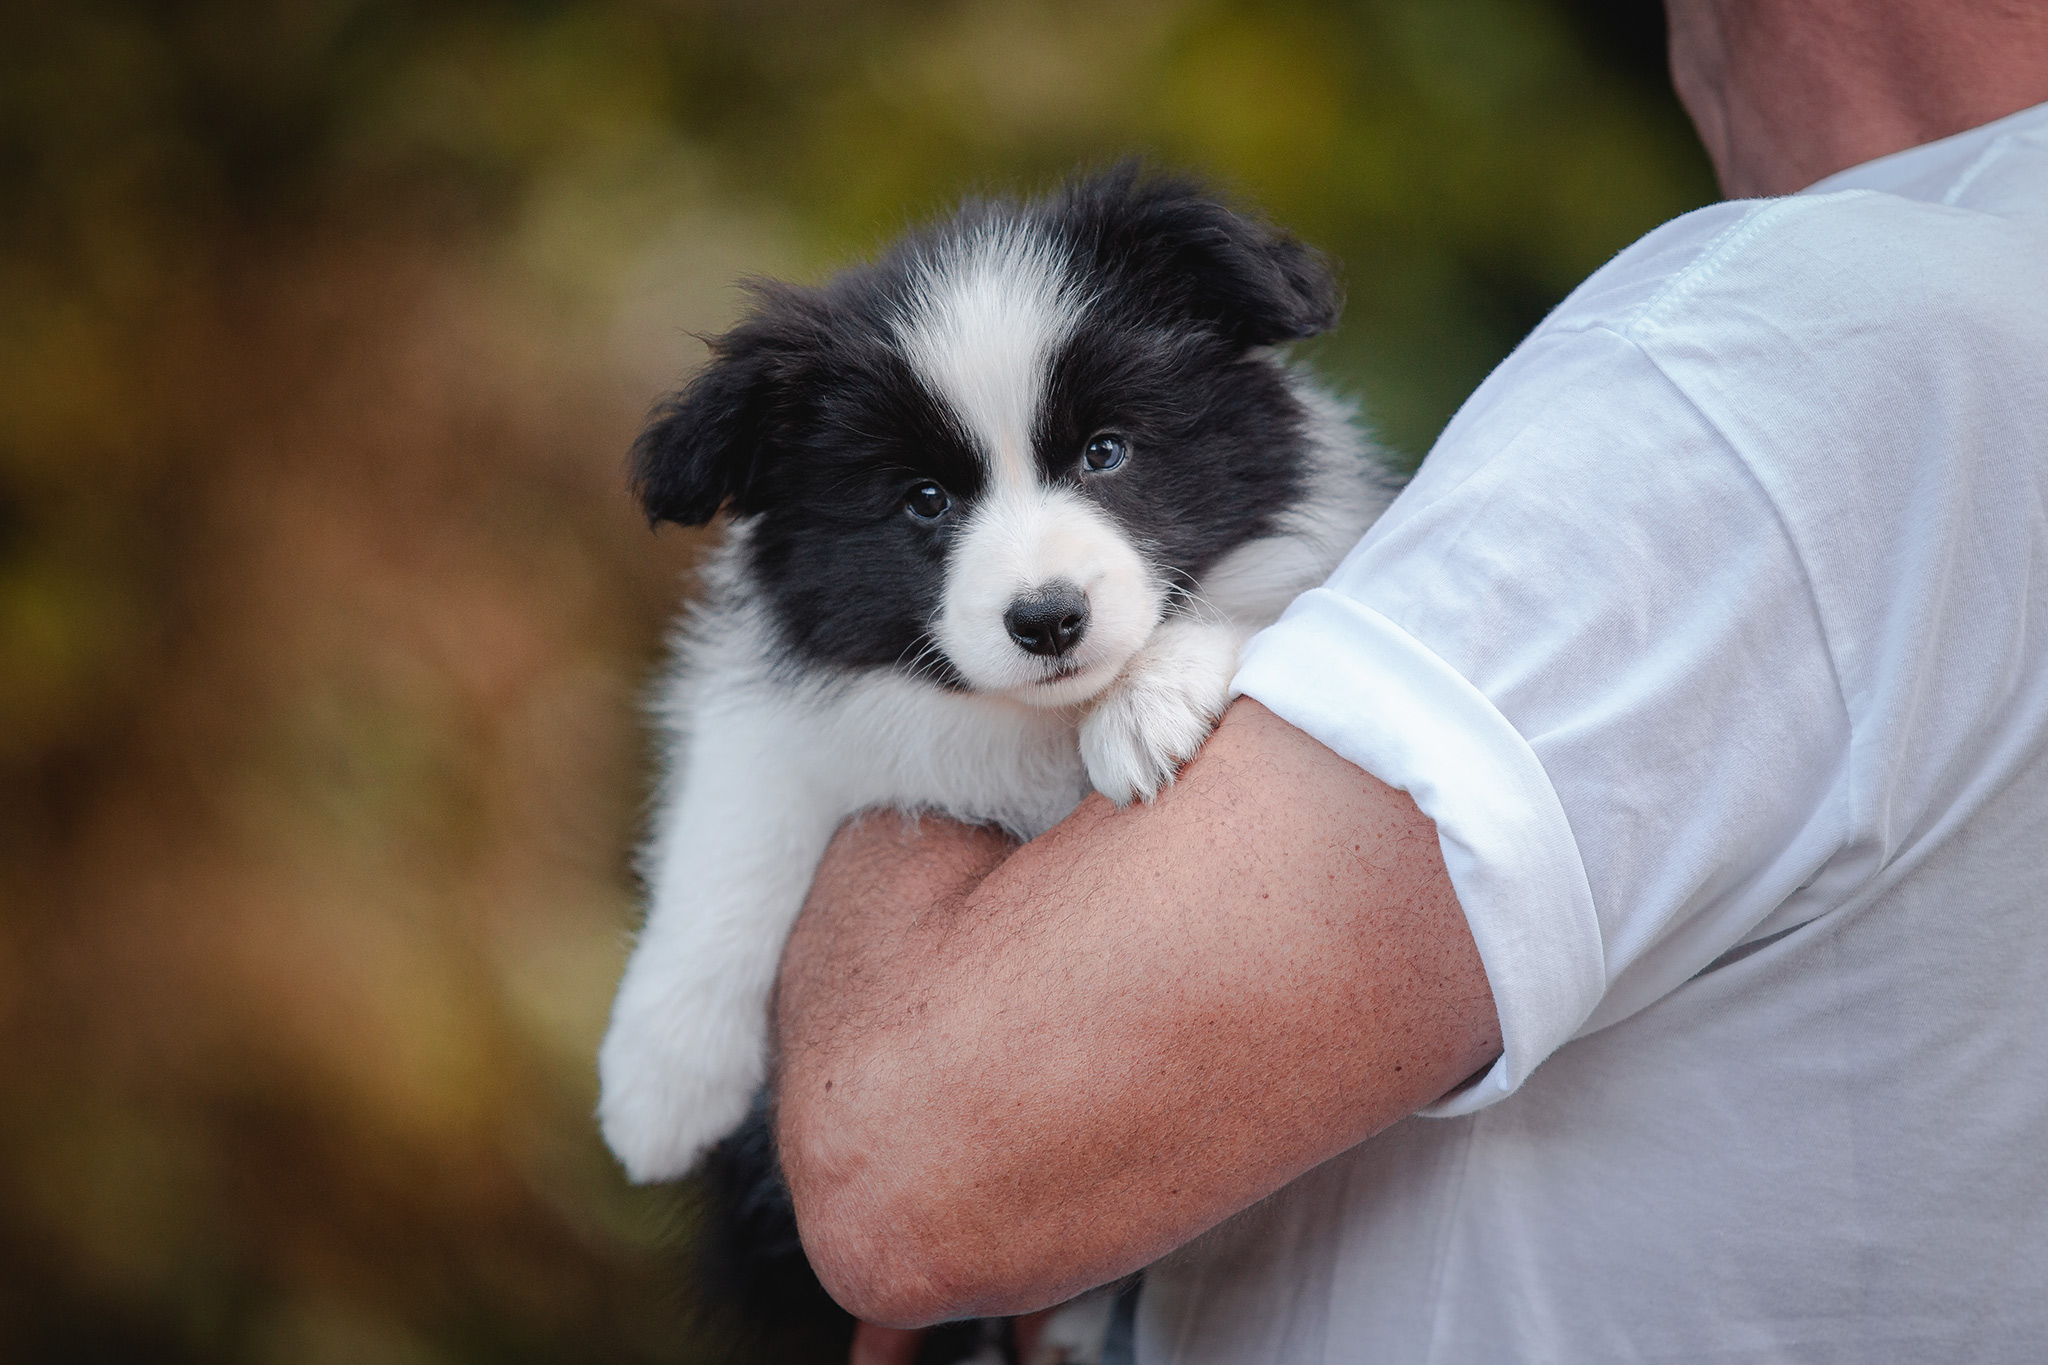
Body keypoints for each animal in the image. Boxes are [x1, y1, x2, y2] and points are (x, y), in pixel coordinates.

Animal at [598, 162, 1392, 1186]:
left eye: (1106, 450)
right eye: (924, 500)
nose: (1047, 618)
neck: (1035, 720)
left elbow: (1276, 595)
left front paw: (1148, 703)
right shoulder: (793, 708)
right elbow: (739, 818)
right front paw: (661, 1080)